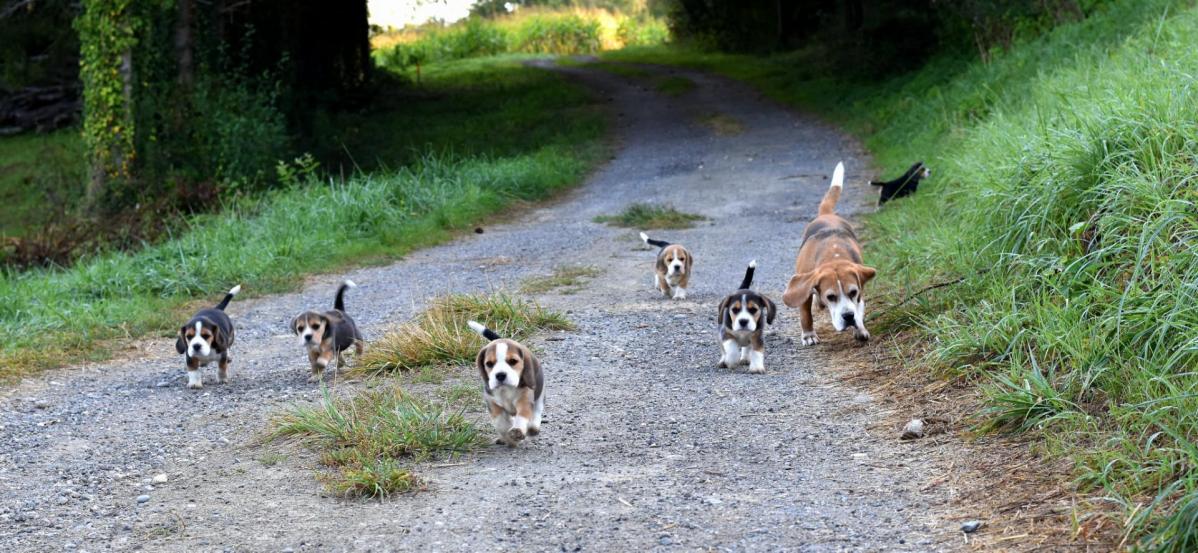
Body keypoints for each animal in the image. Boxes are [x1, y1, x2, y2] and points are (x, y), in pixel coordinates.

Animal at [785, 161, 881, 344]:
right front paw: (808, 335)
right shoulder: (803, 286)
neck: (834, 257)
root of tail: (827, 214)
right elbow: (805, 314)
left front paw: (860, 329)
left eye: (853, 292)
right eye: (831, 296)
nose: (848, 316)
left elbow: (859, 307)